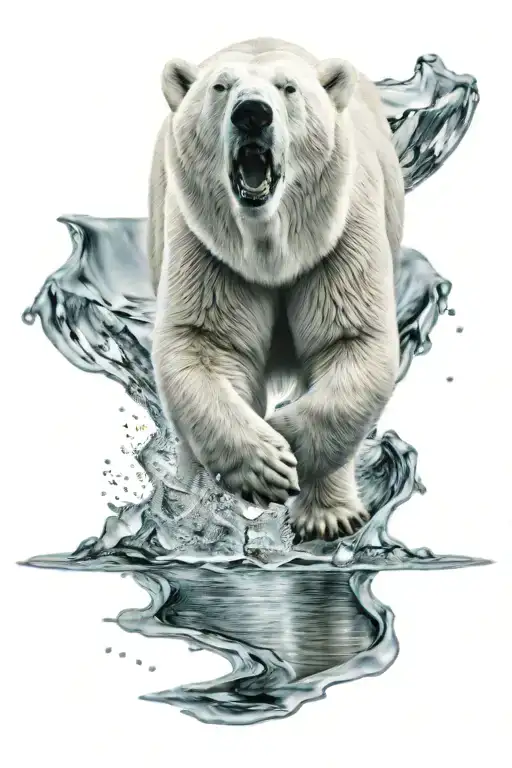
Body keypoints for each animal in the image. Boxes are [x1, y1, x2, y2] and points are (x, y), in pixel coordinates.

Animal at [148, 37, 404, 541]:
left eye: (289, 88)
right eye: (220, 87)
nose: (252, 113)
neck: (271, 246)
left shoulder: (340, 233)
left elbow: (350, 341)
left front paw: (286, 442)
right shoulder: (208, 245)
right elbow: (204, 343)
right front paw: (264, 462)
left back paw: (331, 514)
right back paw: (189, 505)